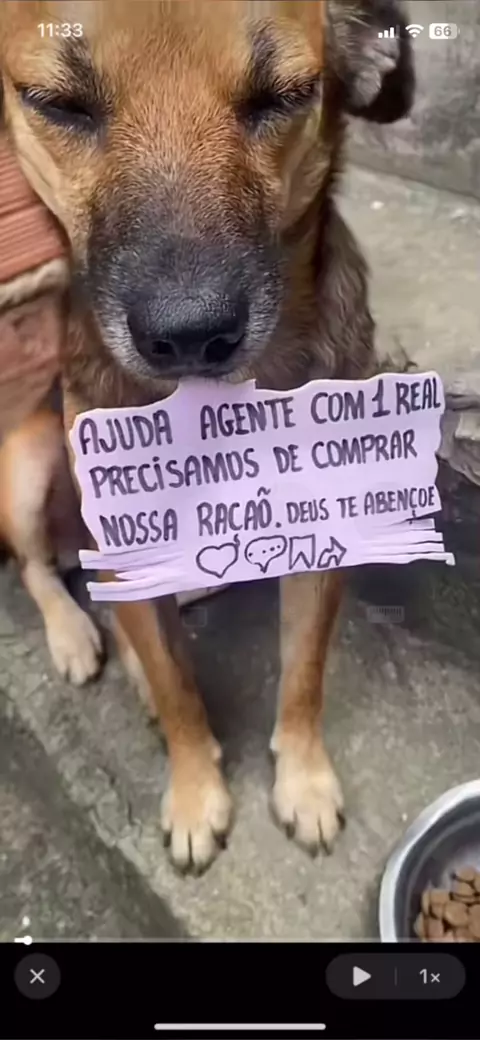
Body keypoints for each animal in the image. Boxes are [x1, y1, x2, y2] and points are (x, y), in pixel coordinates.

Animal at [0, 0, 414, 873]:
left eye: (285, 95)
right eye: (58, 104)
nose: (190, 336)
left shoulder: (323, 532)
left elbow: (304, 675)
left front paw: (304, 783)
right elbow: (182, 696)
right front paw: (195, 798)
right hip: (26, 463)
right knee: (40, 568)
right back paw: (77, 638)